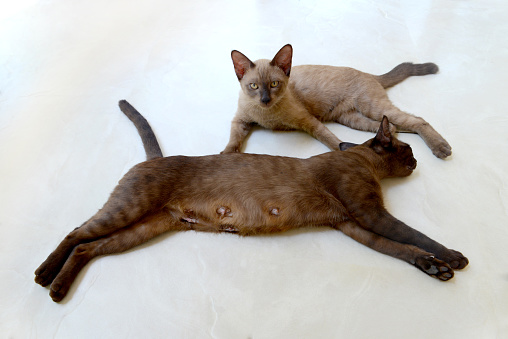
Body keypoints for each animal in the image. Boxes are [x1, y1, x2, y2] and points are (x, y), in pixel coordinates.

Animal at [33, 101, 466, 302]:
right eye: (408, 149)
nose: (416, 162)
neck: (363, 162)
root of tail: (153, 159)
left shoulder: (353, 225)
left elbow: (404, 249)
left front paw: (435, 269)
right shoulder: (369, 213)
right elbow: (417, 236)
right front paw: (454, 259)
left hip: (145, 227)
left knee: (89, 247)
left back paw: (58, 289)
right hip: (129, 210)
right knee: (76, 233)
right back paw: (44, 275)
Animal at [223, 43, 452, 159]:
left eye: (273, 84)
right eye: (254, 86)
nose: (265, 99)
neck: (266, 116)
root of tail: (370, 75)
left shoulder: (309, 122)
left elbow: (331, 141)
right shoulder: (240, 121)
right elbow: (233, 139)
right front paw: (226, 154)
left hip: (371, 108)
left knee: (417, 121)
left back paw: (441, 148)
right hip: (353, 119)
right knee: (395, 126)